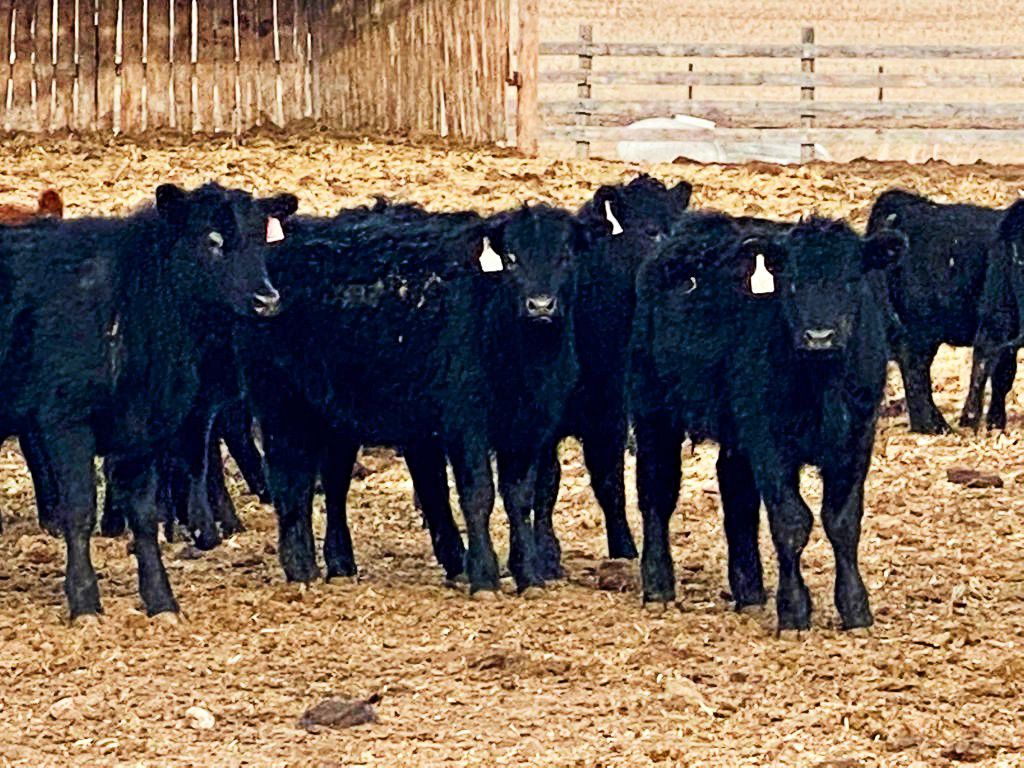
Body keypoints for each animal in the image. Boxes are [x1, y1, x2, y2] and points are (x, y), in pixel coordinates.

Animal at [0, 183, 296, 620]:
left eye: (262, 238)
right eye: (212, 240)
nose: (267, 299)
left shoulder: (142, 430)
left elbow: (143, 516)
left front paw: (161, 599)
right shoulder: (65, 422)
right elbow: (79, 511)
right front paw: (84, 601)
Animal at [237, 199, 586, 597]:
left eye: (564, 256)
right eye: (511, 259)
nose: (540, 305)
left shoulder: (528, 426)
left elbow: (519, 498)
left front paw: (528, 574)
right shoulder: (466, 425)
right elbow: (478, 495)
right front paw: (484, 576)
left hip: (337, 416)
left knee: (336, 482)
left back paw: (341, 563)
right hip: (282, 403)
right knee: (289, 477)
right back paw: (301, 566)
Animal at [529, 175, 692, 578]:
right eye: (650, 231)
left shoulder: (610, 412)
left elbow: (610, 480)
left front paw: (624, 548)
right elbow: (545, 481)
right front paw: (545, 555)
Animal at [632, 212, 905, 633]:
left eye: (850, 280)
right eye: (792, 281)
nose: (819, 336)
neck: (822, 384)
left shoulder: (857, 439)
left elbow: (842, 523)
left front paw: (855, 608)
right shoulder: (769, 442)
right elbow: (791, 522)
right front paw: (793, 610)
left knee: (736, 494)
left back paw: (749, 592)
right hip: (653, 410)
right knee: (657, 492)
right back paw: (659, 586)